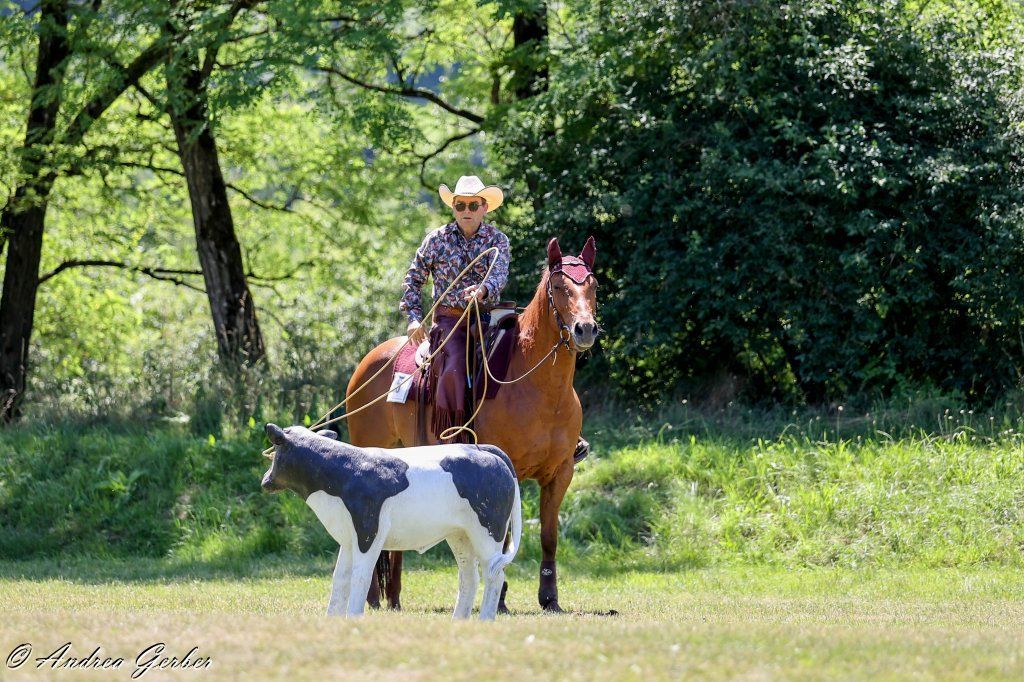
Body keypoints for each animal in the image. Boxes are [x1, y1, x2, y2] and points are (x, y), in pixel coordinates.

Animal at [343, 236, 599, 613]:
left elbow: (549, 536)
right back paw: (372, 597)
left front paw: (549, 598)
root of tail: (370, 361)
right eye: (558, 286)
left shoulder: (561, 472)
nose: (585, 329)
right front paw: (501, 598)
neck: (540, 387)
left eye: (592, 284)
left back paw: (394, 598)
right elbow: (501, 538)